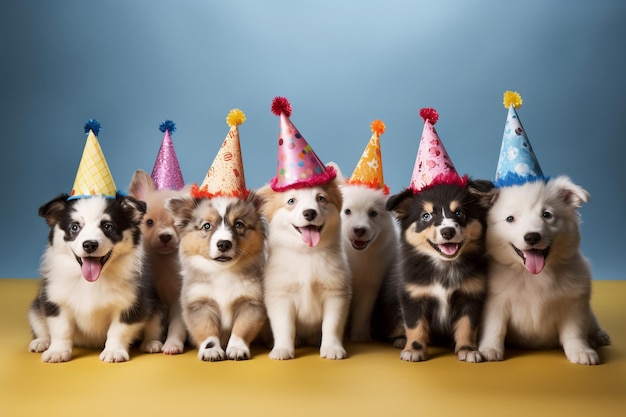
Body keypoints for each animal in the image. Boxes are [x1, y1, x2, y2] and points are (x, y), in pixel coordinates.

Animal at [127, 170, 185, 354]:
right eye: (149, 222)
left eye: (177, 225)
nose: (165, 236)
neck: (160, 261)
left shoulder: (177, 301)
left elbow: (176, 326)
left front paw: (172, 344)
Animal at [165, 193, 264, 360]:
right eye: (207, 226)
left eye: (239, 224)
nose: (224, 244)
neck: (223, 272)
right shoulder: (199, 303)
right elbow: (207, 331)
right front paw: (211, 351)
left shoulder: (251, 302)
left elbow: (241, 328)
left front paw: (237, 348)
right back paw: (171, 346)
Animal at [255, 177, 352, 360]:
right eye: (291, 201)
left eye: (321, 198)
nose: (309, 213)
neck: (307, 253)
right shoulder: (280, 296)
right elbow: (285, 326)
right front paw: (282, 349)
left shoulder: (335, 294)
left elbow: (332, 326)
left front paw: (332, 348)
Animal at [380, 181, 492, 360]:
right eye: (426, 216)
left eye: (459, 213)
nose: (448, 231)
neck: (444, 265)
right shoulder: (413, 296)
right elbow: (415, 326)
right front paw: (414, 350)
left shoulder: (471, 296)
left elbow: (467, 326)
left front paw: (467, 349)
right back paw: (400, 340)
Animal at [476, 176, 608, 364]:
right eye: (510, 219)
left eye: (547, 215)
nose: (532, 237)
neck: (534, 276)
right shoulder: (496, 302)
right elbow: (495, 327)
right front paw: (490, 348)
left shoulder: (574, 304)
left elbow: (575, 331)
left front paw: (581, 350)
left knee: (591, 323)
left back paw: (598, 336)